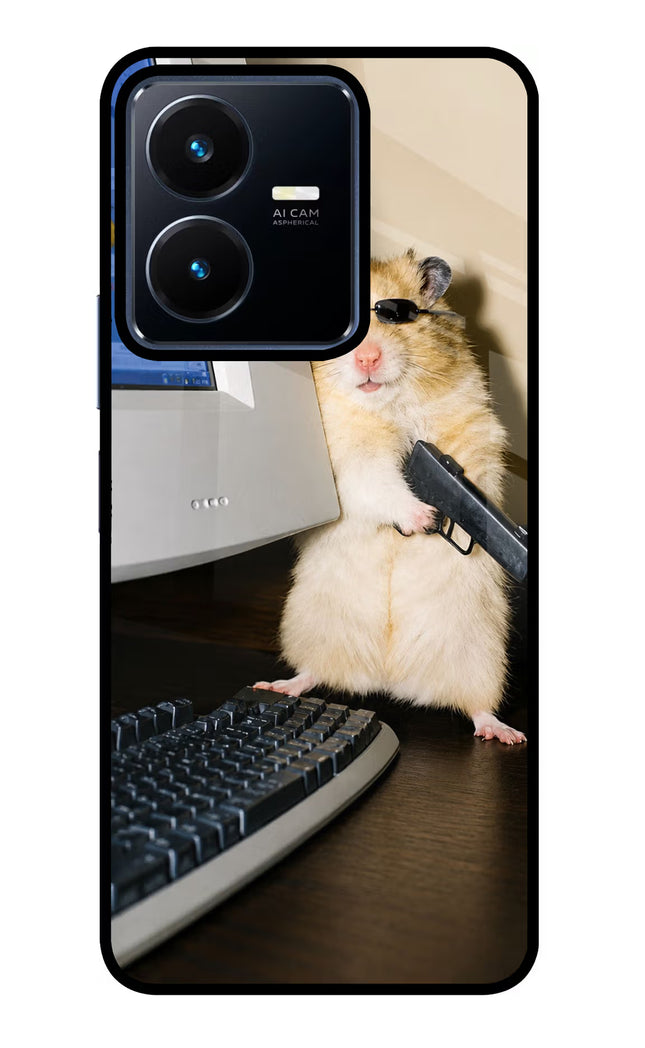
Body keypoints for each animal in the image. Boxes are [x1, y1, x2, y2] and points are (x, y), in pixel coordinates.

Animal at [256, 251, 526, 744]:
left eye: (395, 316)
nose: (367, 357)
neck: (388, 404)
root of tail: (389, 679)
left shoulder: (472, 429)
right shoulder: (348, 459)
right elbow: (378, 483)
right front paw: (423, 518)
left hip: (480, 654)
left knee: (477, 705)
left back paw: (504, 733)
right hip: (311, 627)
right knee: (313, 672)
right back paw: (278, 685)